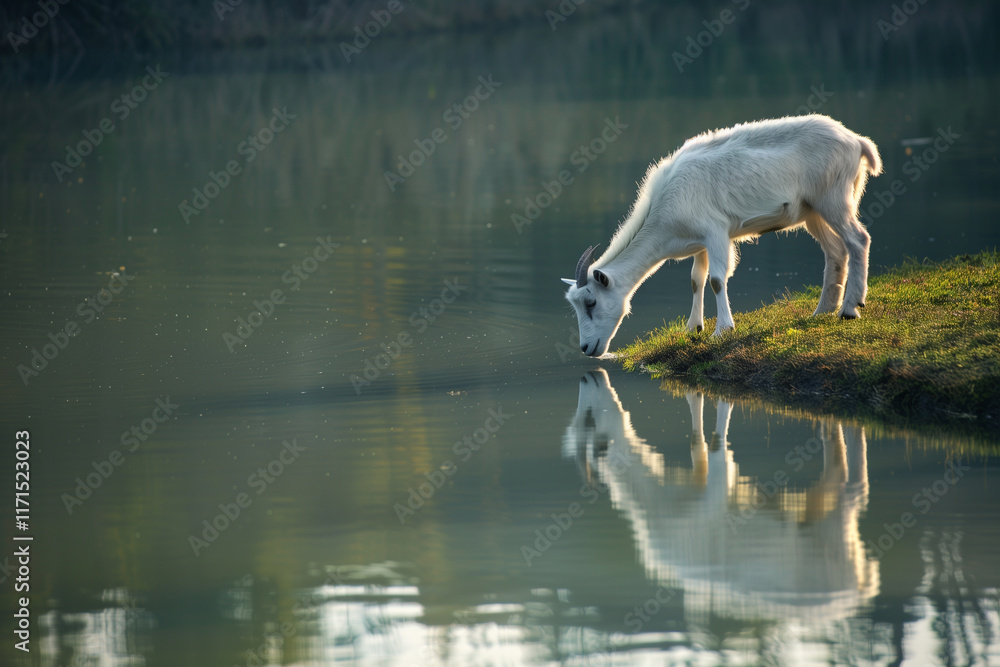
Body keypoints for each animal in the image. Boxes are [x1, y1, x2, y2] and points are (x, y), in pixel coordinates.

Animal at [562, 114, 882, 357]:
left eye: (591, 303)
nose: (587, 348)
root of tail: (857, 142)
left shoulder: (716, 232)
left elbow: (717, 279)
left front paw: (722, 330)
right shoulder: (699, 243)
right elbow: (696, 279)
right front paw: (693, 328)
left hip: (834, 198)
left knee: (858, 240)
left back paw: (850, 308)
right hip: (812, 211)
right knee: (835, 250)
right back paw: (824, 310)